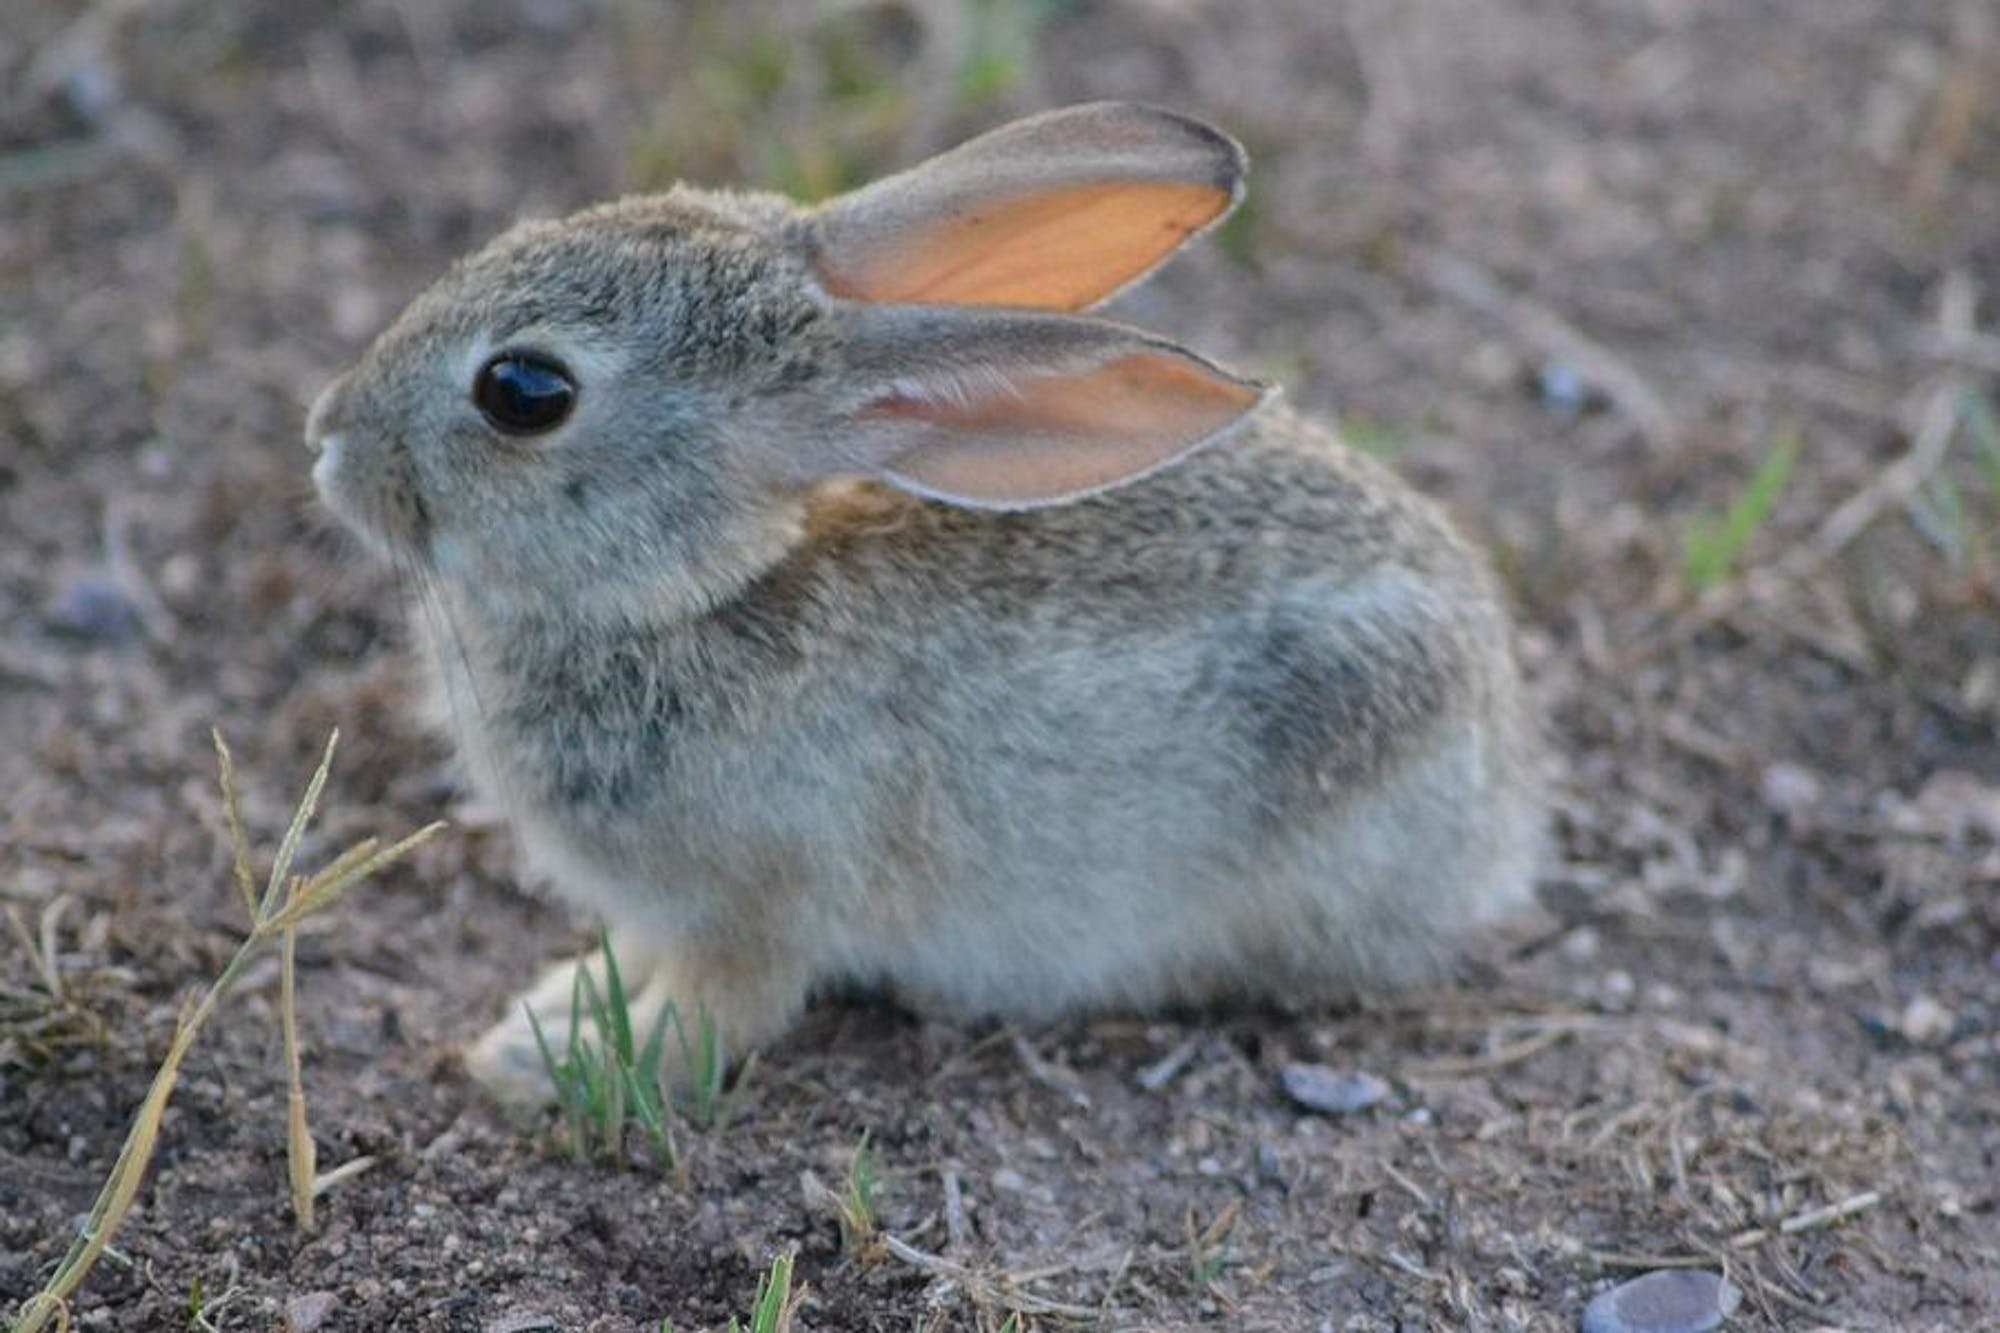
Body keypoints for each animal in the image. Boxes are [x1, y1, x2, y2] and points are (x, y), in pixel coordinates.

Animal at [304, 104, 1536, 1096]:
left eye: (524, 391)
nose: (327, 437)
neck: (688, 599)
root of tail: (1500, 792)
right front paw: (551, 1006)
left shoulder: (754, 912)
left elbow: (714, 1016)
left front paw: (550, 1064)